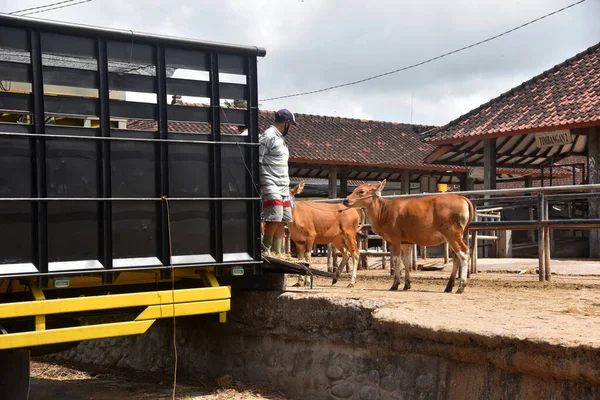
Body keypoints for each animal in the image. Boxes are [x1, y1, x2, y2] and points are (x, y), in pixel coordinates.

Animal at [342, 180, 474, 292]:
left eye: (361, 191)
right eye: (355, 189)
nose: (345, 200)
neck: (384, 211)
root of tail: (461, 197)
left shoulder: (395, 239)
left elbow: (397, 260)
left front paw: (395, 284)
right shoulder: (406, 242)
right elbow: (406, 261)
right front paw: (407, 284)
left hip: (452, 234)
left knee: (464, 254)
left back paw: (461, 286)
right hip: (453, 237)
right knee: (456, 257)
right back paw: (449, 286)